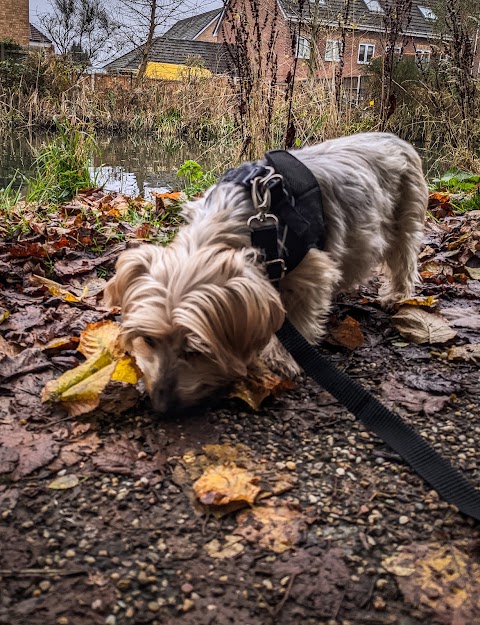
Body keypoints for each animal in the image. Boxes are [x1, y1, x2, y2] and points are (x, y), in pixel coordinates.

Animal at [104, 133, 428, 410]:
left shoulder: (310, 271)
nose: (161, 405)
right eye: (148, 340)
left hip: (405, 211)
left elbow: (296, 316)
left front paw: (280, 358)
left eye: (196, 351)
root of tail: (398, 139)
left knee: (404, 256)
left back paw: (397, 295)